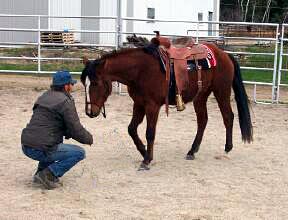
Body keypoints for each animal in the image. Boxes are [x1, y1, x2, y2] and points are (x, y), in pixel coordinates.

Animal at [80, 40, 252, 170]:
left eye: (95, 83)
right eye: (84, 83)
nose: (89, 112)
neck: (141, 70)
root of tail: (223, 54)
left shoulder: (152, 106)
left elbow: (150, 132)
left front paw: (147, 160)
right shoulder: (139, 104)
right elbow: (131, 129)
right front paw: (143, 152)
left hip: (221, 91)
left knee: (228, 117)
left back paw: (227, 148)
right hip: (200, 96)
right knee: (203, 120)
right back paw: (192, 150)